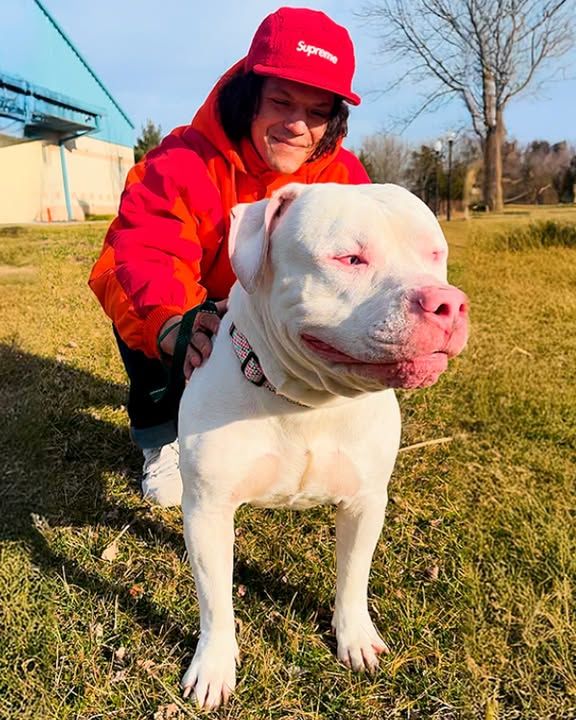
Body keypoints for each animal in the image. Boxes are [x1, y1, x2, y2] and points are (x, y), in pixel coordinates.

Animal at [178, 183, 470, 704]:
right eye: (350, 258)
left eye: (434, 254)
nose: (448, 303)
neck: (308, 402)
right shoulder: (207, 512)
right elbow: (215, 601)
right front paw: (213, 667)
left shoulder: (365, 502)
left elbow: (353, 575)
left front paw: (354, 638)